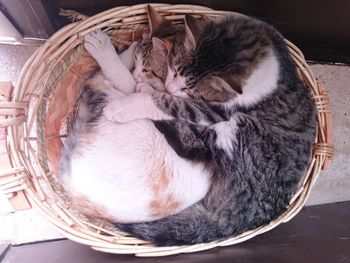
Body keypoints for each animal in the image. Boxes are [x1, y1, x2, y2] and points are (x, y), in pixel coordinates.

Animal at [58, 6, 211, 224]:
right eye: (140, 63)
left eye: (147, 69)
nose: (137, 73)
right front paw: (135, 46)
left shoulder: (139, 90)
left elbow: (122, 77)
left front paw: (106, 48)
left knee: (99, 78)